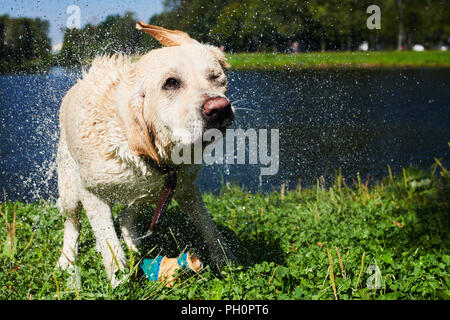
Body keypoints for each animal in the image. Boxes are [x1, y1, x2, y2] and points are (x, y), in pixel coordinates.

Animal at [55, 21, 236, 284]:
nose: (220, 109)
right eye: (171, 83)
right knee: (72, 222)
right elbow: (107, 239)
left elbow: (207, 225)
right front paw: (118, 278)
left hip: (150, 193)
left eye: (216, 77)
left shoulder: (184, 187)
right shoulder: (90, 191)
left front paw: (225, 259)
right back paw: (67, 259)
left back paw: (134, 244)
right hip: (69, 186)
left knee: (127, 214)